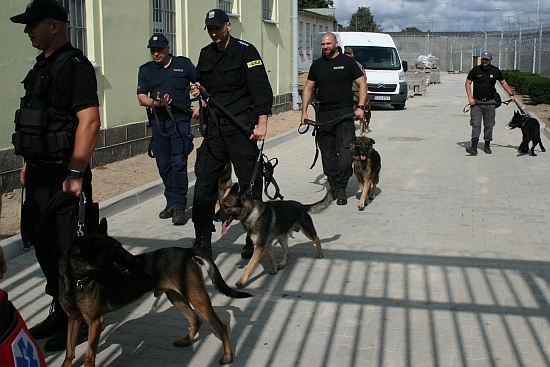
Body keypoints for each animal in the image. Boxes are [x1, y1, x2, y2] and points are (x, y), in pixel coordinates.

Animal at [58, 217, 252, 366]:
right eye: (115, 249)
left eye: (120, 245)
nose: (137, 262)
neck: (75, 279)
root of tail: (186, 251)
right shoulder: (74, 319)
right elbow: (69, 351)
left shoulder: (95, 321)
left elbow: (88, 357)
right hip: (175, 297)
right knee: (195, 320)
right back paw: (187, 340)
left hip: (197, 298)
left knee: (221, 326)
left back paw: (228, 356)